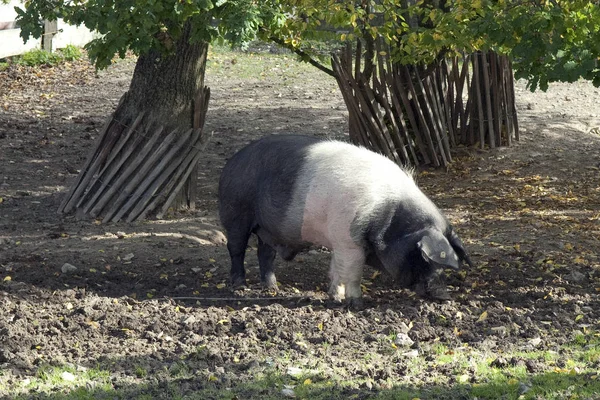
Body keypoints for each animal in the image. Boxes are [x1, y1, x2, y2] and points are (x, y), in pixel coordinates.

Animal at [217, 134, 474, 306]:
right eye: (423, 258)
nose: (445, 295)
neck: (388, 216)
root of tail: (232, 162)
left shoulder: (340, 241)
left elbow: (336, 269)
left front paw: (335, 296)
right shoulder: (349, 242)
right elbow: (352, 271)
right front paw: (356, 304)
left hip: (268, 229)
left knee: (265, 253)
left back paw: (272, 287)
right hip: (235, 212)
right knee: (236, 248)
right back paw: (238, 286)